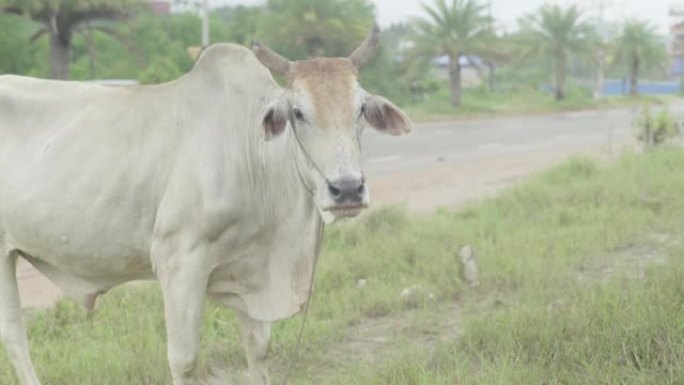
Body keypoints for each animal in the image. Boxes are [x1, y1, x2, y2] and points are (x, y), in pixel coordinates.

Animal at [0, 27, 412, 384]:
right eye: (297, 112)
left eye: (361, 109)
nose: (347, 189)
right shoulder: (178, 262)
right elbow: (184, 361)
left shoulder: (251, 269)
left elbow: (258, 349)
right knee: (15, 338)